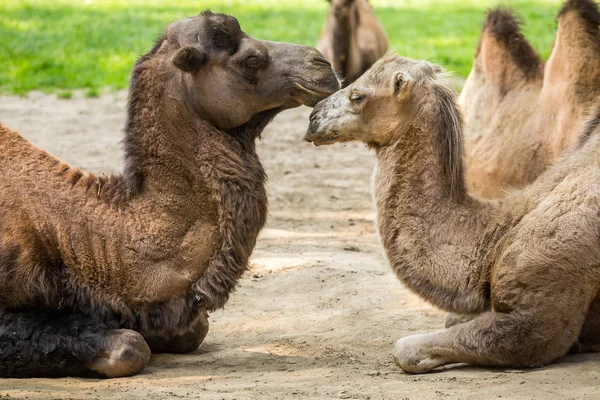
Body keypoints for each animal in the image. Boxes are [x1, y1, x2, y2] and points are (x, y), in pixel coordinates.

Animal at [308, 54, 600, 374]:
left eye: (358, 95)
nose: (313, 118)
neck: (494, 237)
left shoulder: (534, 318)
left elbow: (405, 349)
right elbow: (451, 318)